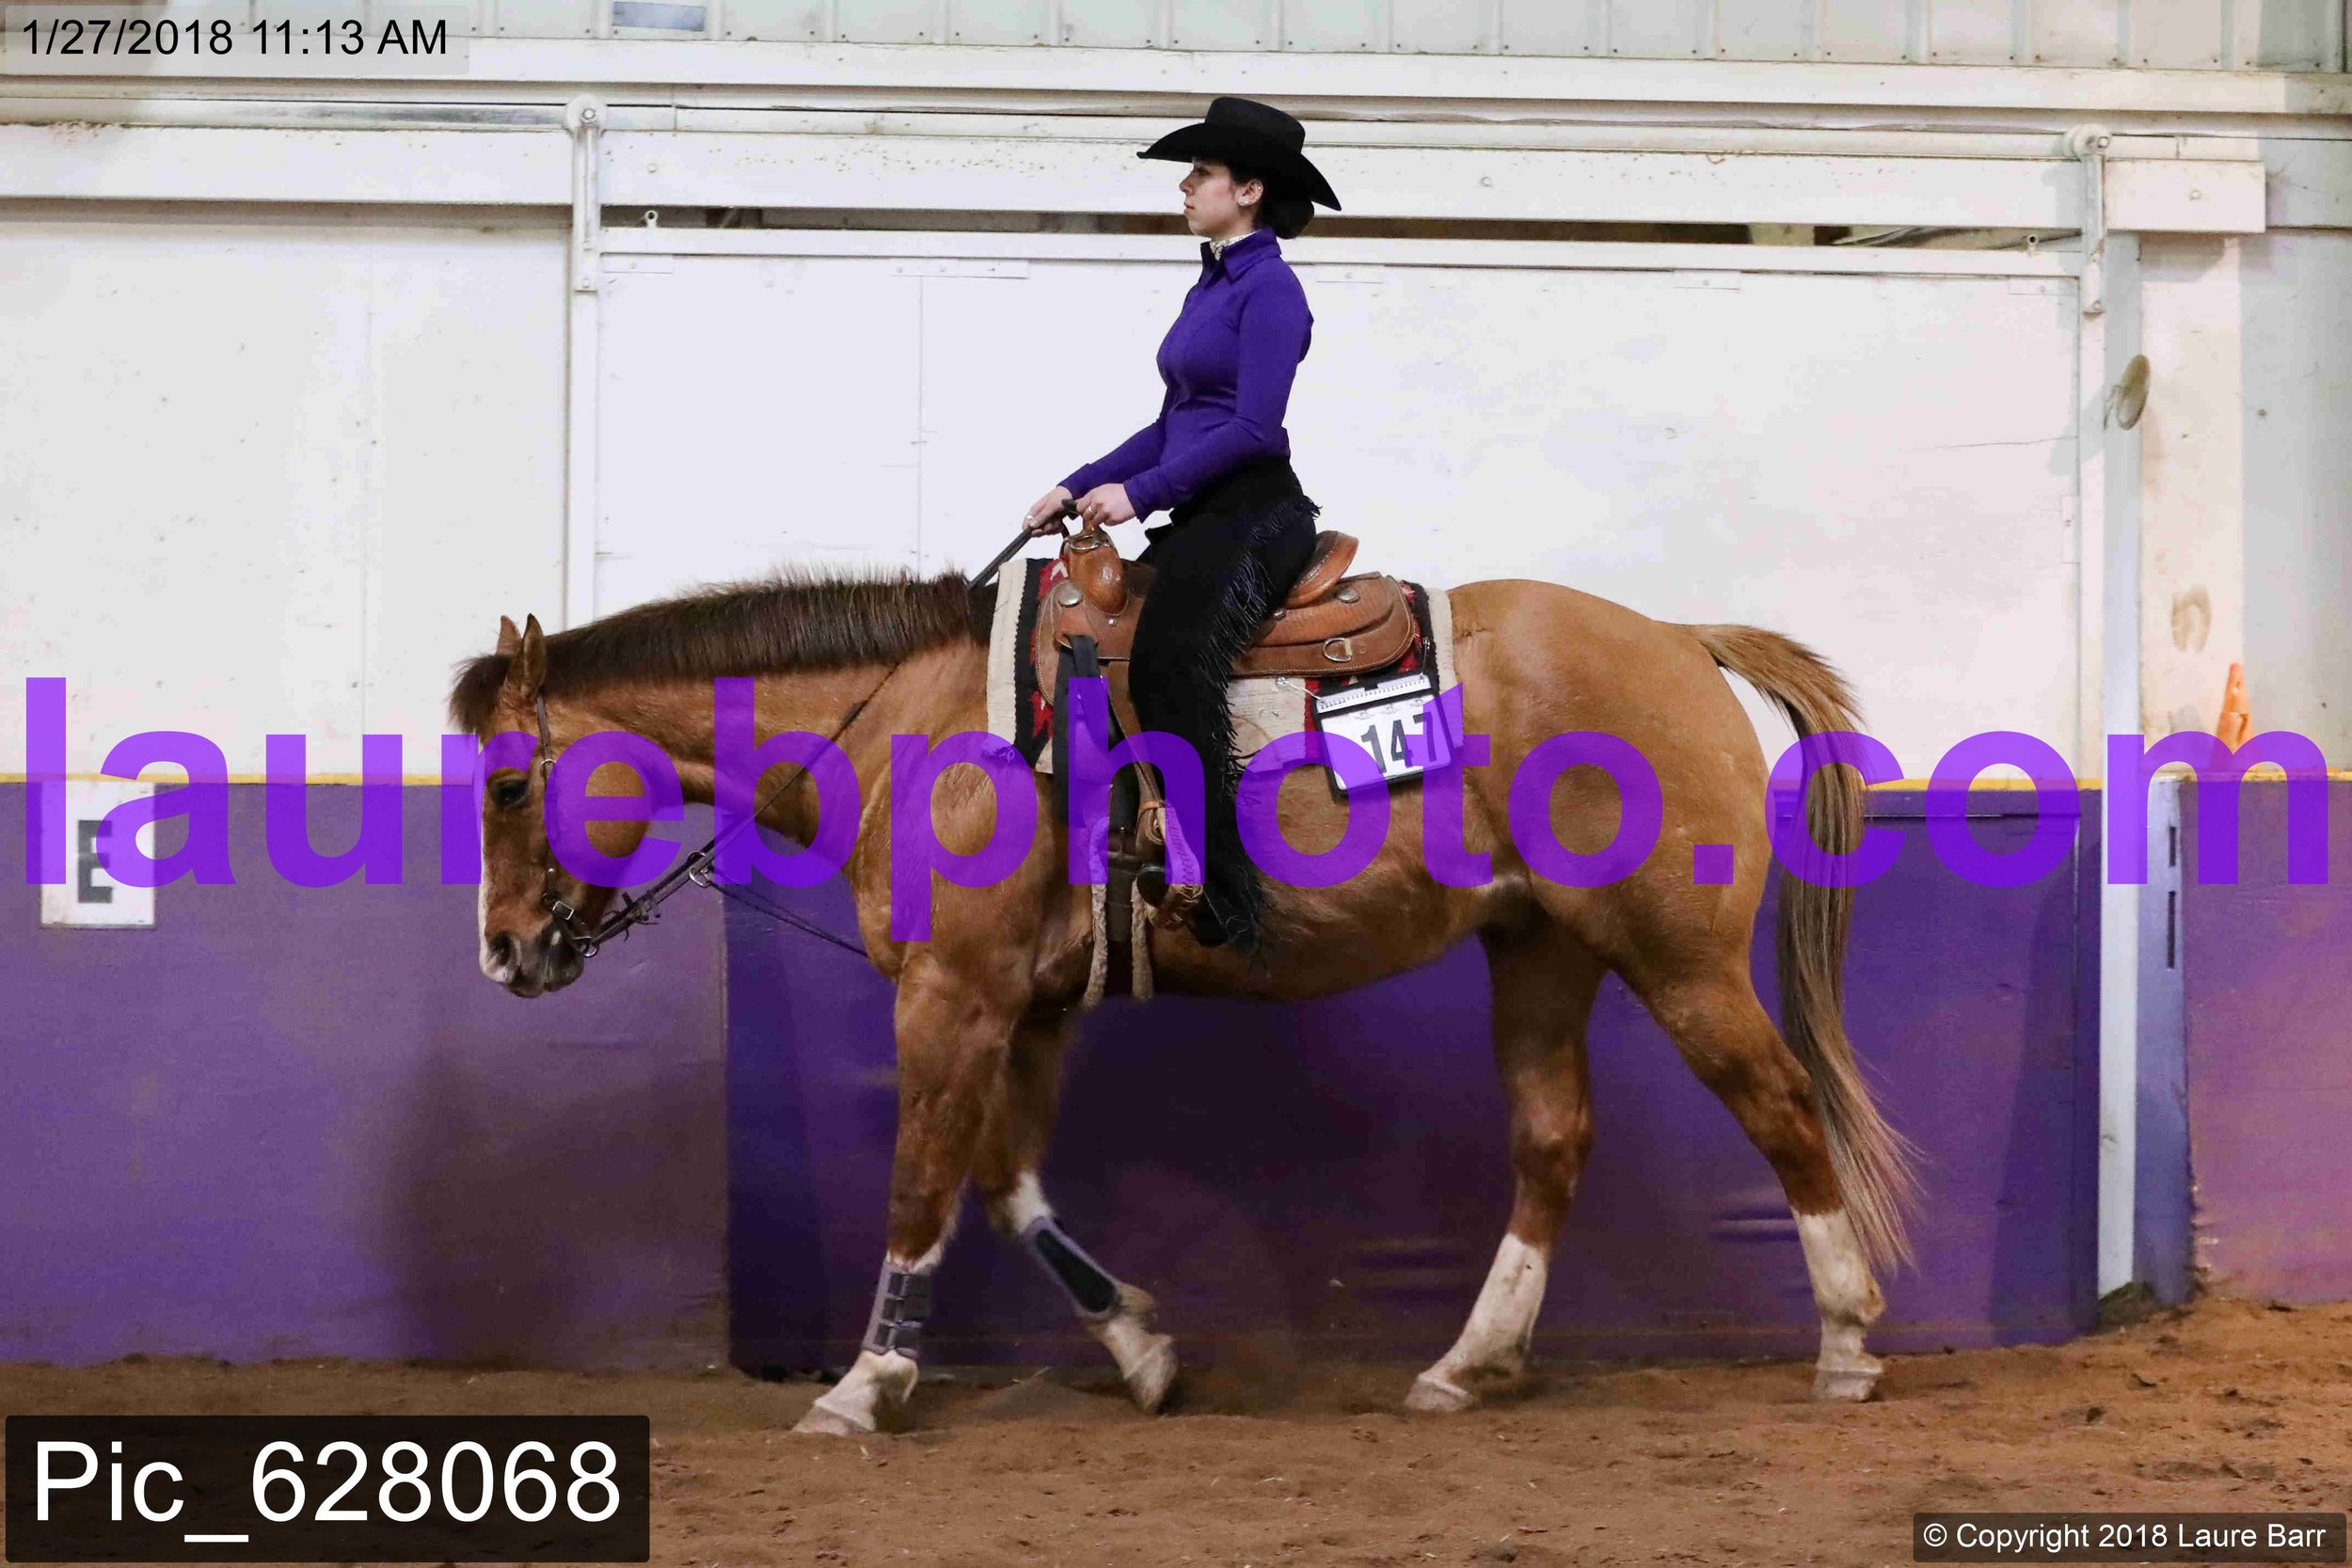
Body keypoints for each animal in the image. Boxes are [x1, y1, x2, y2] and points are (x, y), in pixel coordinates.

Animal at [448, 565, 1916, 1436]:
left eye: (512, 782)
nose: (507, 955)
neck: (916, 723)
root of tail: (1677, 638)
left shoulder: (951, 1000)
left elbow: (923, 1184)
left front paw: (866, 1384)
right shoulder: (1027, 1008)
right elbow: (1009, 1188)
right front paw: (1142, 1348)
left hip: (1679, 960)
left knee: (1782, 1107)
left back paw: (1846, 1338)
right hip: (1539, 951)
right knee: (1553, 1140)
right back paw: (1466, 1361)